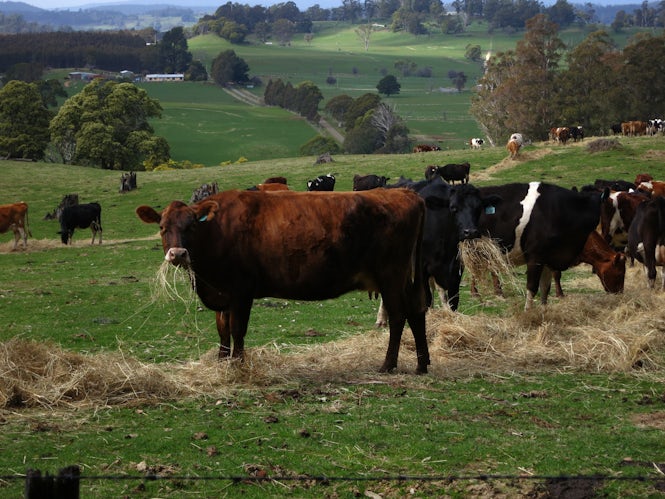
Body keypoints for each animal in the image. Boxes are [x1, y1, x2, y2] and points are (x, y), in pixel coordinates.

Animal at [474, 183, 604, 308]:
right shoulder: (535, 257)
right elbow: (532, 287)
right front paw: (528, 311)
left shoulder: (548, 258)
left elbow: (545, 288)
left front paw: (543, 310)